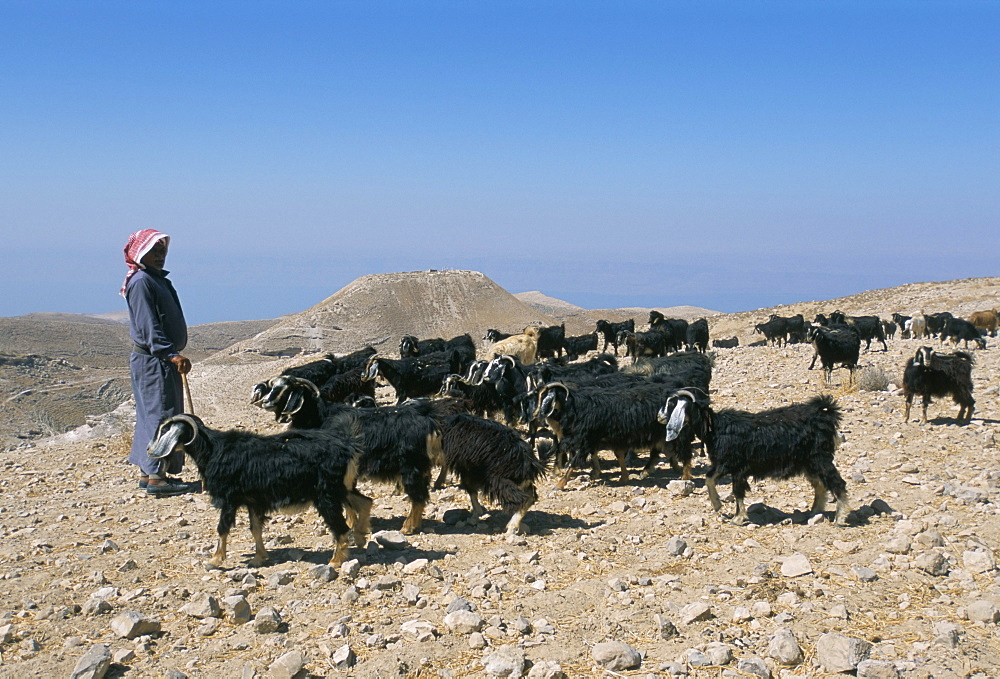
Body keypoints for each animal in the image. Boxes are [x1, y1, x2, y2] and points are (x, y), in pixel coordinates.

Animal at [146, 414, 370, 568]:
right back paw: (360, 537)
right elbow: (255, 529)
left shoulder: (230, 499)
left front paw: (215, 560)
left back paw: (335, 560)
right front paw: (259, 558)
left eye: (165, 431)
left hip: (326, 495)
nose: (149, 450)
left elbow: (223, 528)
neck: (212, 450)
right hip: (341, 488)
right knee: (365, 501)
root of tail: (349, 446)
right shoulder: (253, 501)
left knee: (340, 527)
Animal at [260, 374, 444, 532]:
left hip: (411, 466)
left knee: (418, 496)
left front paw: (349, 523)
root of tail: (427, 420)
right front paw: (351, 522)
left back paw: (407, 528)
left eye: (286, 389)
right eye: (272, 386)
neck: (322, 416)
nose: (265, 402)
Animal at [660, 388, 848, 524]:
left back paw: (840, 517)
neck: (715, 428)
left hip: (819, 458)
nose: (660, 417)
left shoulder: (735, 466)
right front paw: (718, 505)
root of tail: (824, 414)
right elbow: (709, 479)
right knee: (820, 485)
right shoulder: (725, 465)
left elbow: (737, 491)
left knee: (837, 482)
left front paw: (738, 518)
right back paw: (815, 511)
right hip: (808, 462)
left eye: (672, 404)